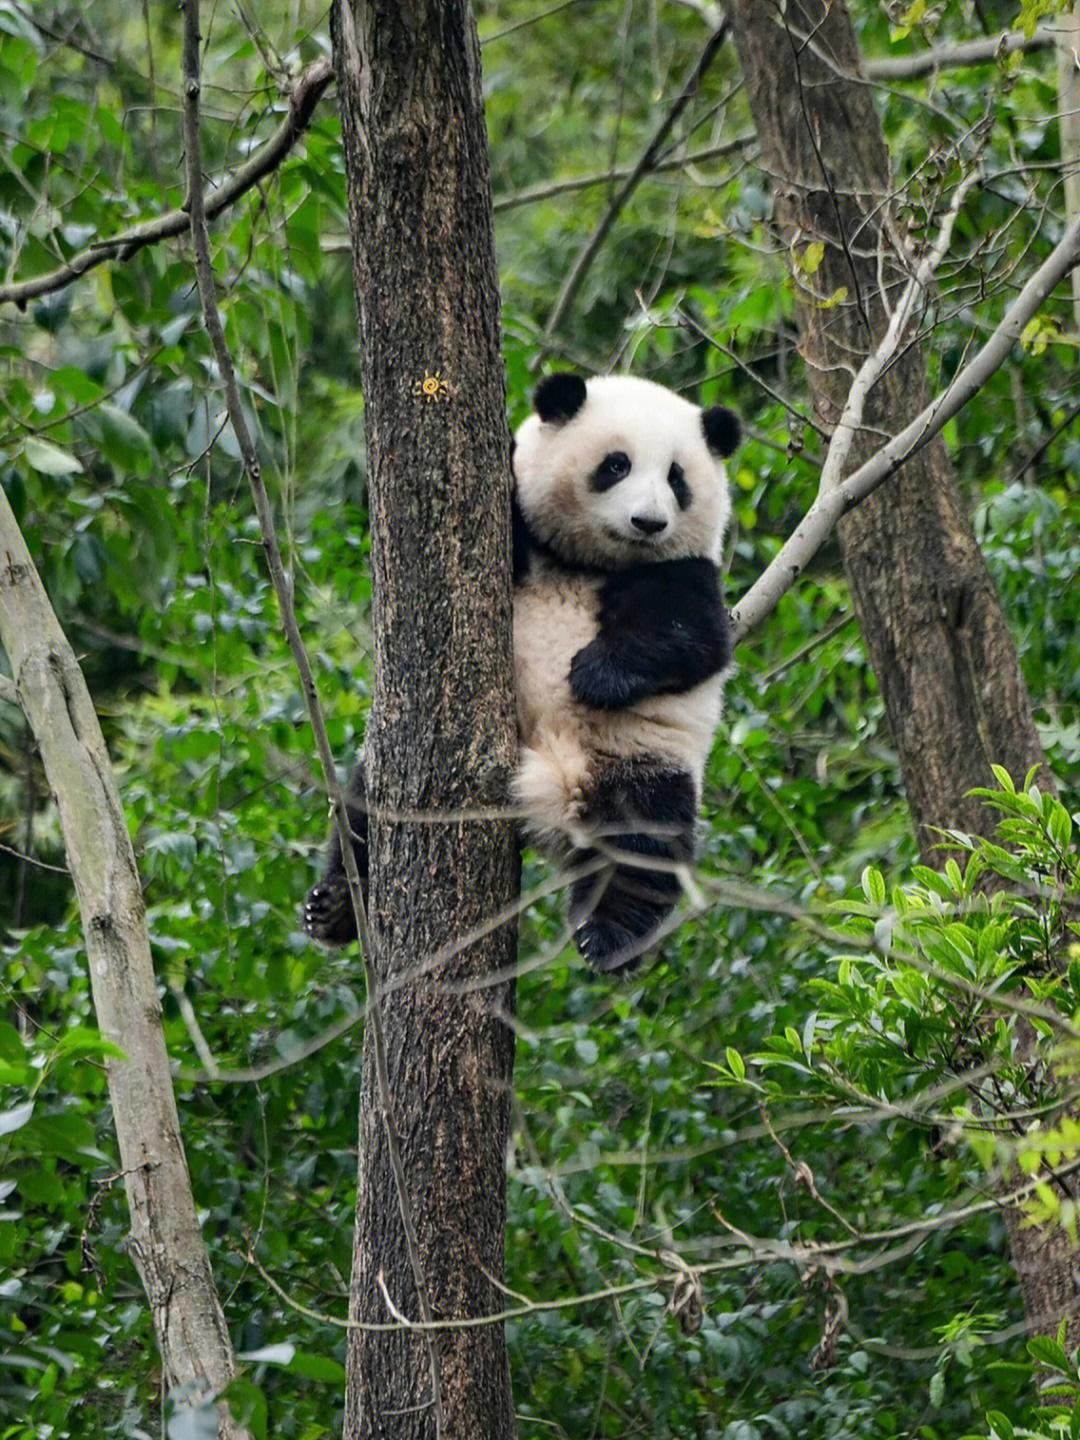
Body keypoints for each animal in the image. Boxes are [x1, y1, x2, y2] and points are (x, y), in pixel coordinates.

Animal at [308, 371, 743, 979]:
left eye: (677, 478)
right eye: (616, 465)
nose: (649, 523)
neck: (588, 564)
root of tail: (560, 794)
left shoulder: (684, 573)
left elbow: (692, 637)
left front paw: (593, 675)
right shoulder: (522, 532)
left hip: (644, 763)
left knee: (643, 850)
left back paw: (608, 939)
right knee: (364, 811)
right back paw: (334, 908)